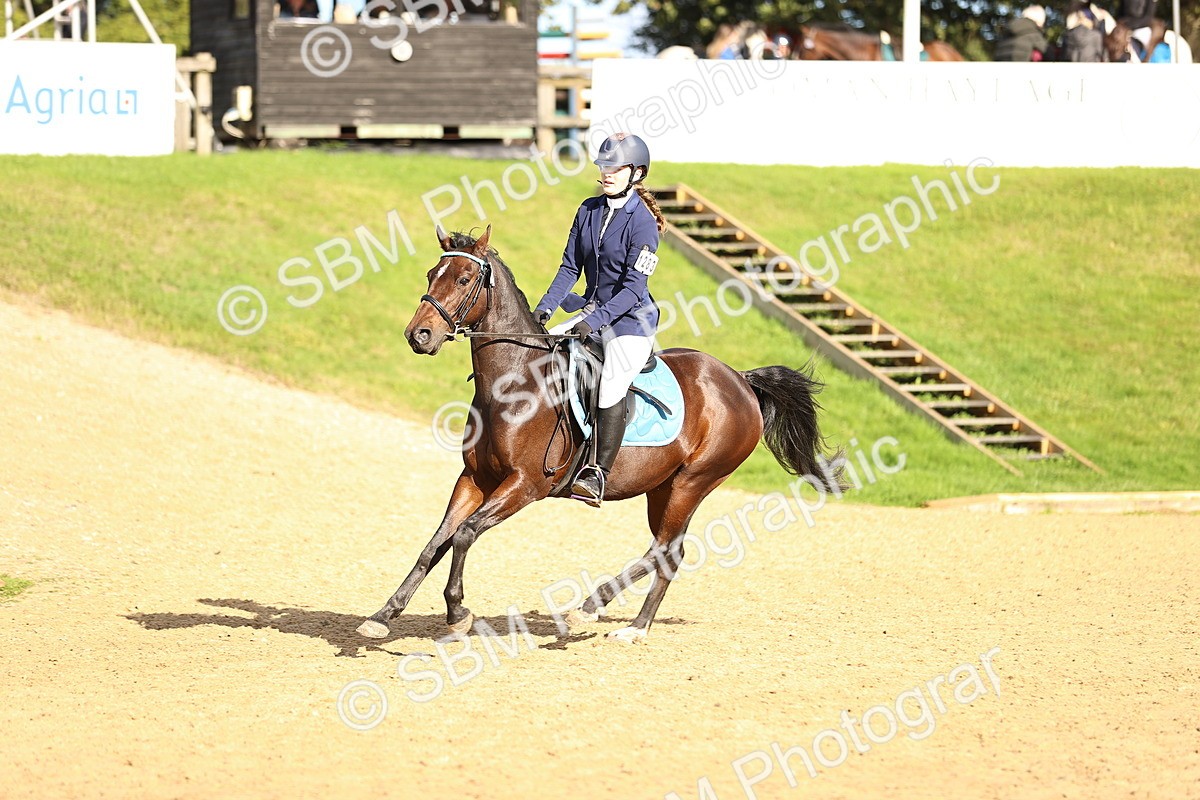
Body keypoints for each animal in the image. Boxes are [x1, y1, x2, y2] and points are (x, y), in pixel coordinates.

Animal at [355, 225, 844, 644]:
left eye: (463, 278)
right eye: (431, 275)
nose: (419, 335)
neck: (515, 383)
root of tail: (740, 380)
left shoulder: (524, 485)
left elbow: (464, 534)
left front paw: (458, 613)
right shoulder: (475, 479)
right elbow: (435, 544)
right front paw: (383, 616)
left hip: (693, 482)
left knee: (664, 549)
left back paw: (595, 610)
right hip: (662, 487)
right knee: (669, 552)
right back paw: (632, 623)